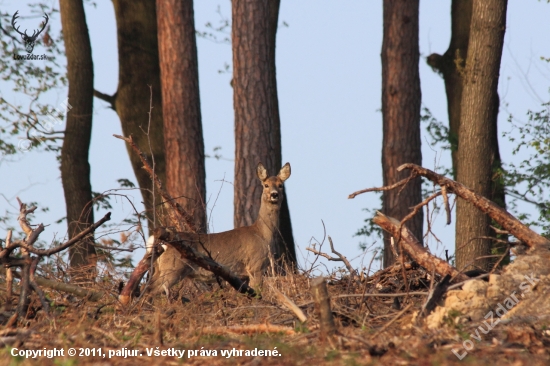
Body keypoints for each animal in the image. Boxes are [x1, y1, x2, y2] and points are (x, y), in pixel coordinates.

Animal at [147, 163, 294, 294]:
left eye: (281, 185)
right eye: (266, 185)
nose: (274, 194)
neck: (262, 234)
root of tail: (159, 241)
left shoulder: (244, 275)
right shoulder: (255, 266)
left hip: (159, 269)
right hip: (172, 268)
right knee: (149, 292)